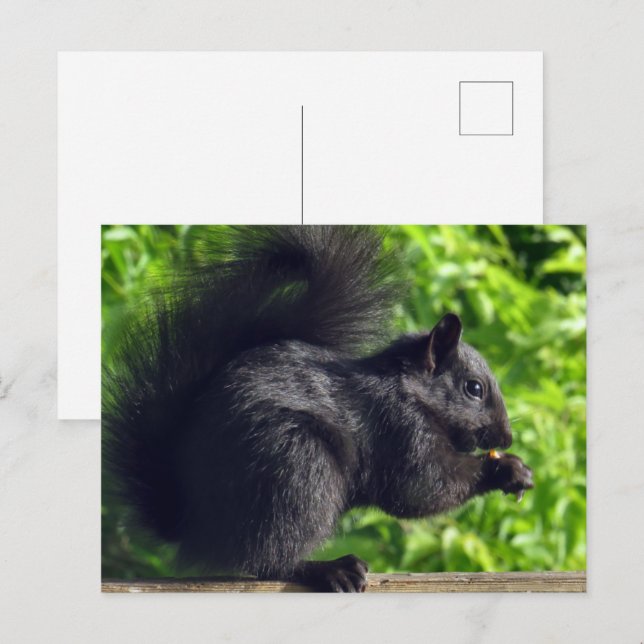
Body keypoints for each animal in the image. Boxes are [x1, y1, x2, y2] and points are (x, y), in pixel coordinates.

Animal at [103, 225, 533, 592]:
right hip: (298, 467)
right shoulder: (400, 431)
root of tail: (195, 524)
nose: (506, 436)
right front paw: (505, 470)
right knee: (267, 560)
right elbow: (422, 489)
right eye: (474, 389)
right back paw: (329, 569)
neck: (410, 391)